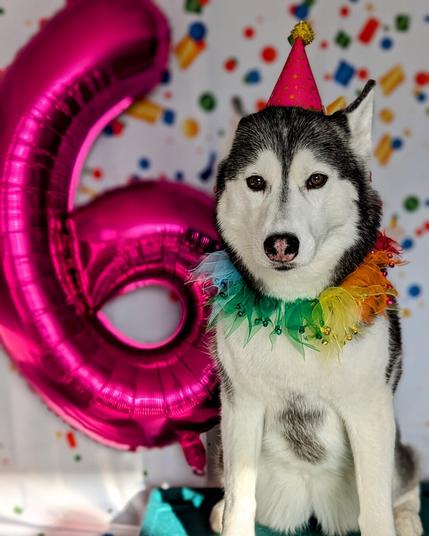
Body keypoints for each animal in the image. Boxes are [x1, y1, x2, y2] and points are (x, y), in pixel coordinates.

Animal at [208, 80, 423, 536]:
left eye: (317, 179)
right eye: (256, 181)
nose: (280, 244)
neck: (299, 308)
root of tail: (308, 504)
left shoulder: (369, 411)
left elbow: (375, 510)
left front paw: (392, 518)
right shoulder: (241, 407)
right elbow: (239, 500)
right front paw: (230, 517)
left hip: (395, 449)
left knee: (406, 475)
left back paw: (407, 516)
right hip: (221, 445)